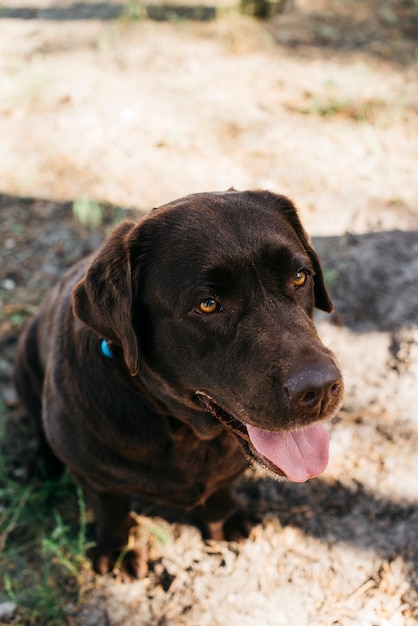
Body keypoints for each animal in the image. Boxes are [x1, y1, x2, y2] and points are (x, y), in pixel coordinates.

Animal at [14, 188, 344, 576]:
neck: (184, 431)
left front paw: (223, 519)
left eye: (299, 277)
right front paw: (120, 550)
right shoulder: (90, 472)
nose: (319, 388)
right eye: (207, 305)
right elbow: (111, 509)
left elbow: (218, 487)